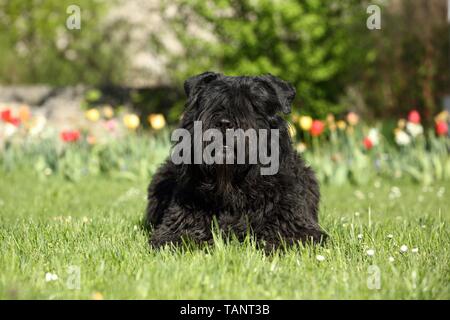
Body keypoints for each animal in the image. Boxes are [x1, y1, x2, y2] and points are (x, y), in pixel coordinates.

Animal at [147, 72, 326, 250]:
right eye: (211, 101)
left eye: (253, 104)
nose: (224, 123)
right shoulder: (176, 228)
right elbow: (180, 238)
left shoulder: (296, 229)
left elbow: (279, 241)